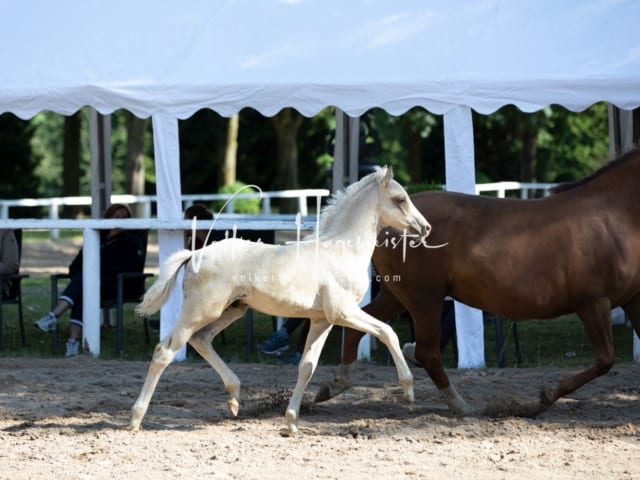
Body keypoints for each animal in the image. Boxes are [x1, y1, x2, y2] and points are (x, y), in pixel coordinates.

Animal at [318, 147, 640, 416]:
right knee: (426, 352)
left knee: (362, 325)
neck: (612, 218)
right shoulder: (593, 302)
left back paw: (334, 385)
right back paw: (461, 406)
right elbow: (605, 361)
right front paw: (543, 398)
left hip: (398, 295)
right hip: (425, 299)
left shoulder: (631, 301)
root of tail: (385, 226)